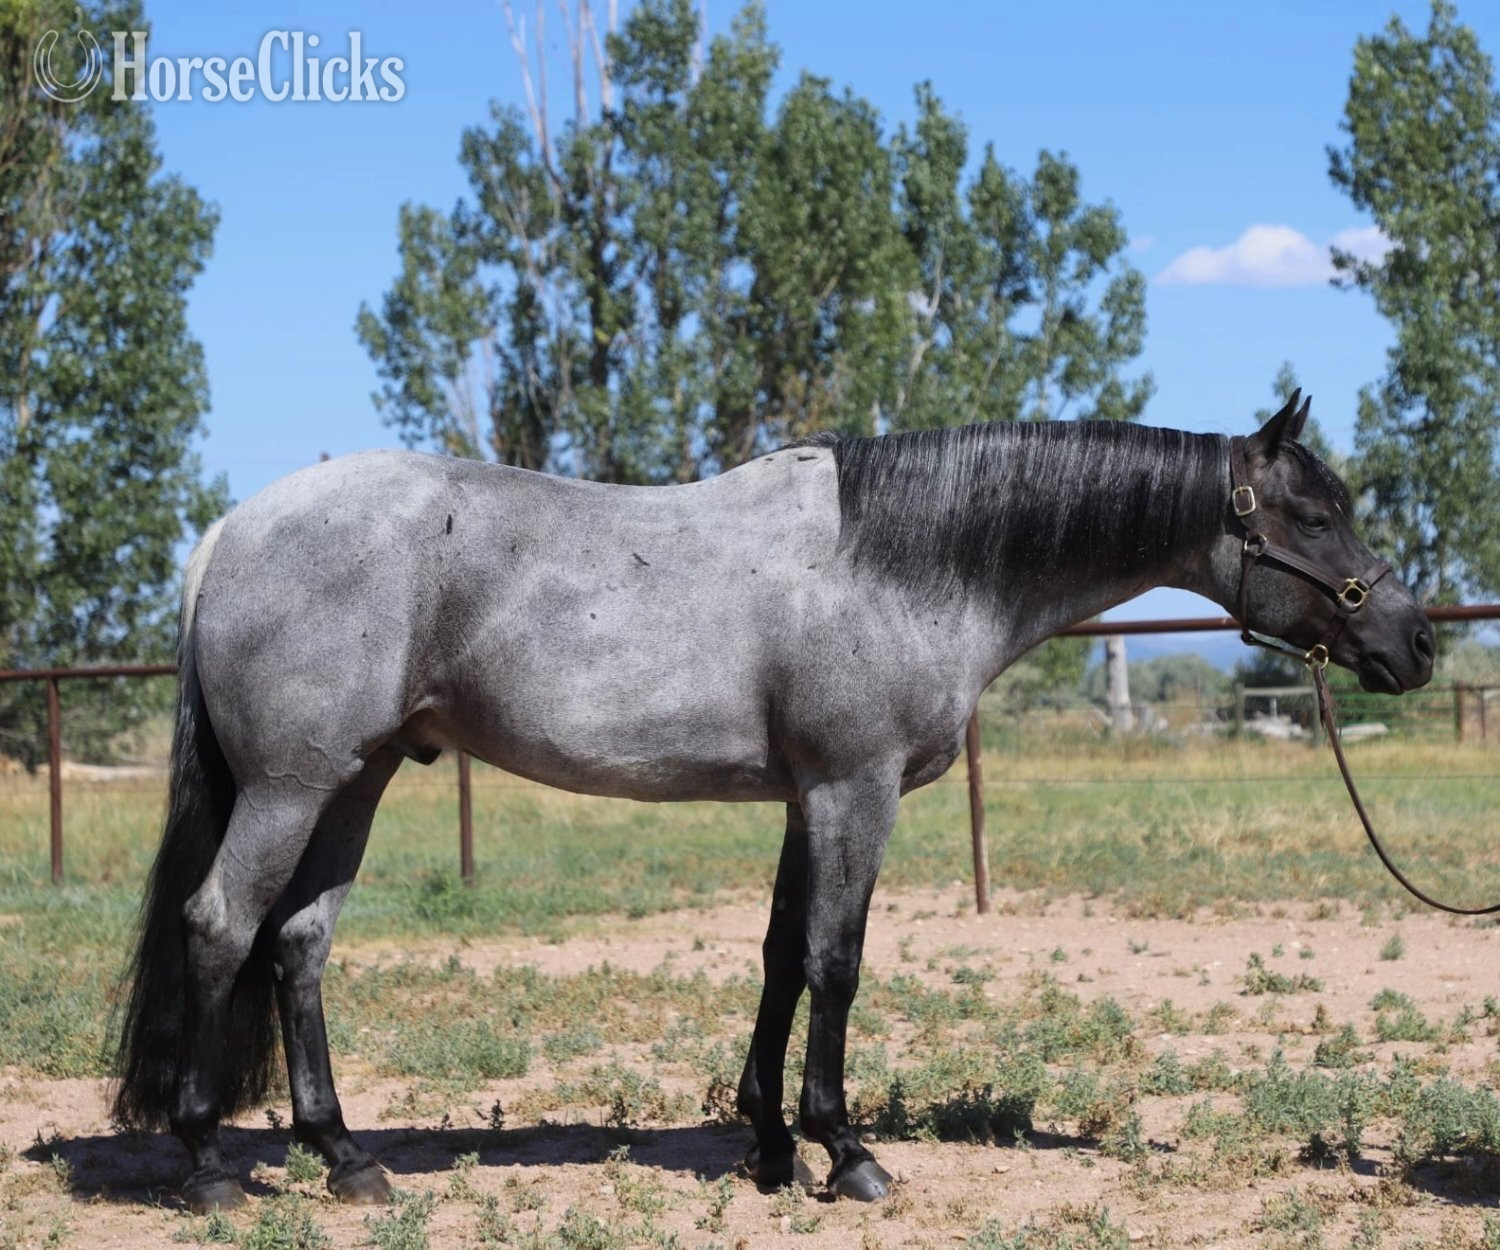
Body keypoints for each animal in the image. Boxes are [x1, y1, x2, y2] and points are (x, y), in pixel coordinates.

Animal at [111, 392, 1434, 1212]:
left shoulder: (810, 798)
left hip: (358, 778)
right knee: (221, 926)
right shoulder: (855, 791)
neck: (901, 560)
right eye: (1315, 514)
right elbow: (838, 961)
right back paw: (209, 1162)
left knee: (297, 944)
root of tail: (230, 531)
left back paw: (343, 1157)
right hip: (293, 785)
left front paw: (763, 1141)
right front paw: (845, 1151)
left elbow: (781, 956)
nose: (1413, 642)